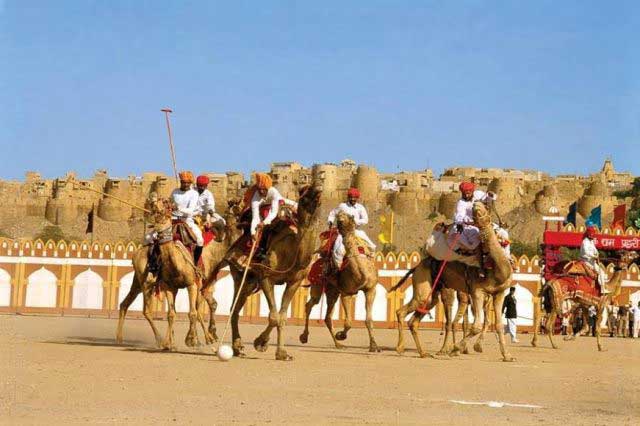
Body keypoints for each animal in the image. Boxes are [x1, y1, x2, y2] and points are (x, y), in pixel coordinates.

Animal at [115, 197, 242, 350]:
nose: (153, 202)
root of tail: (135, 254)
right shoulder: (196, 283)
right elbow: (196, 310)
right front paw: (197, 338)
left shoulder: (201, 283)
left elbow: (206, 306)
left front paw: (208, 336)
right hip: (146, 282)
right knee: (147, 310)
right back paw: (160, 341)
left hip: (138, 282)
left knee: (125, 303)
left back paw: (121, 339)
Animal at [226, 185, 324, 362]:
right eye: (303, 194)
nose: (318, 188)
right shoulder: (266, 277)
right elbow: (273, 316)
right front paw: (260, 343)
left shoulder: (295, 281)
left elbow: (282, 317)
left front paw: (282, 353)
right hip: (239, 275)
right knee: (234, 308)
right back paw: (237, 347)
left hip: (250, 282)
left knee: (236, 307)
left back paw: (237, 348)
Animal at [298, 211, 382, 352]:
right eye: (338, 217)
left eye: (350, 217)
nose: (340, 220)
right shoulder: (346, 293)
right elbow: (348, 322)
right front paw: (341, 335)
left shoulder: (371, 290)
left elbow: (369, 320)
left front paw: (374, 346)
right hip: (318, 284)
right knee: (310, 304)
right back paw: (304, 337)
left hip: (333, 291)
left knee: (327, 316)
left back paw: (338, 345)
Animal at [390, 201, 516, 362]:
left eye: (486, 208)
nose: (476, 204)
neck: (498, 268)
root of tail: (416, 267)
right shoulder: (477, 290)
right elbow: (476, 326)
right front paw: (455, 349)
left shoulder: (499, 292)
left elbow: (499, 325)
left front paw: (507, 356)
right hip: (422, 283)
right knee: (402, 311)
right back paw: (400, 348)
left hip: (432, 292)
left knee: (415, 319)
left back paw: (423, 353)